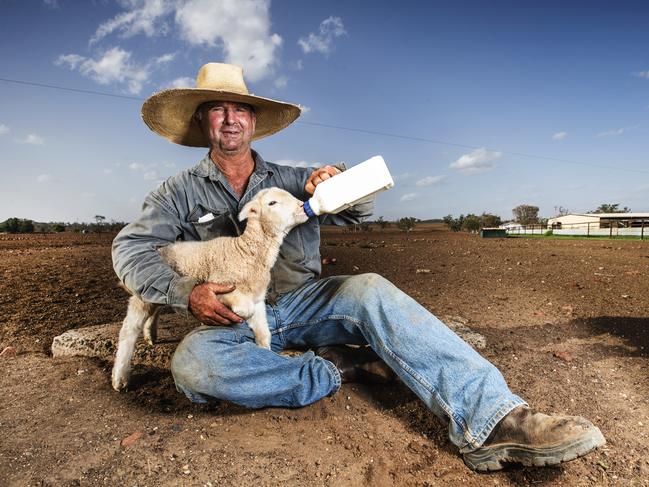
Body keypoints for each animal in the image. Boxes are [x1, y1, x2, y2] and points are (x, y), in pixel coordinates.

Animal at [111, 188, 308, 392]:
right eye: (272, 203)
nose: (302, 205)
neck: (246, 253)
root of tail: (160, 249)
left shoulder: (258, 299)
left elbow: (264, 333)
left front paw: (265, 353)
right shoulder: (221, 286)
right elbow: (244, 309)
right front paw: (238, 316)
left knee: (156, 306)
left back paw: (150, 334)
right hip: (142, 293)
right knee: (129, 329)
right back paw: (120, 377)